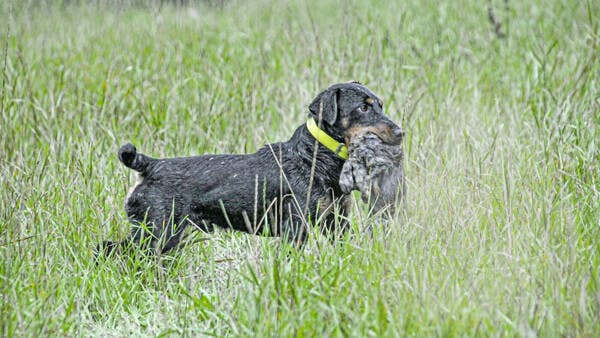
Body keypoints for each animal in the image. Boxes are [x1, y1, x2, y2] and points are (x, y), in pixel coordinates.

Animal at [98, 82, 404, 256]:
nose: (401, 132)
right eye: (363, 109)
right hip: (154, 233)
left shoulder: (337, 223)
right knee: (109, 250)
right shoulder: (295, 229)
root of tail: (150, 165)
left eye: (379, 105)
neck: (314, 157)